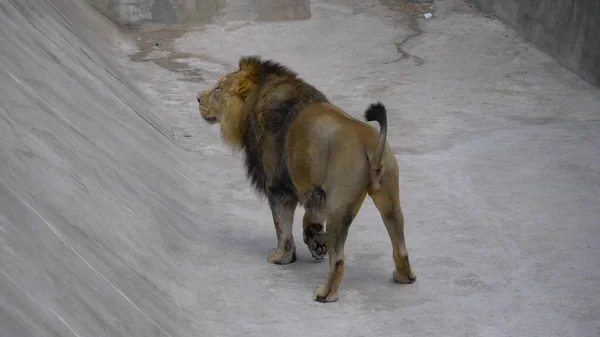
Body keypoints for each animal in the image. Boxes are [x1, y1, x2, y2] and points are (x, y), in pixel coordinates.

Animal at [198, 55, 418, 302]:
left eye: (218, 88)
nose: (197, 98)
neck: (255, 101)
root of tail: (370, 144)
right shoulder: (315, 189)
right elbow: (309, 217)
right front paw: (315, 241)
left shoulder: (278, 187)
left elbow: (282, 226)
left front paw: (281, 257)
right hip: (390, 201)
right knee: (401, 247)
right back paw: (403, 276)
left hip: (339, 207)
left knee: (338, 260)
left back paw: (324, 293)